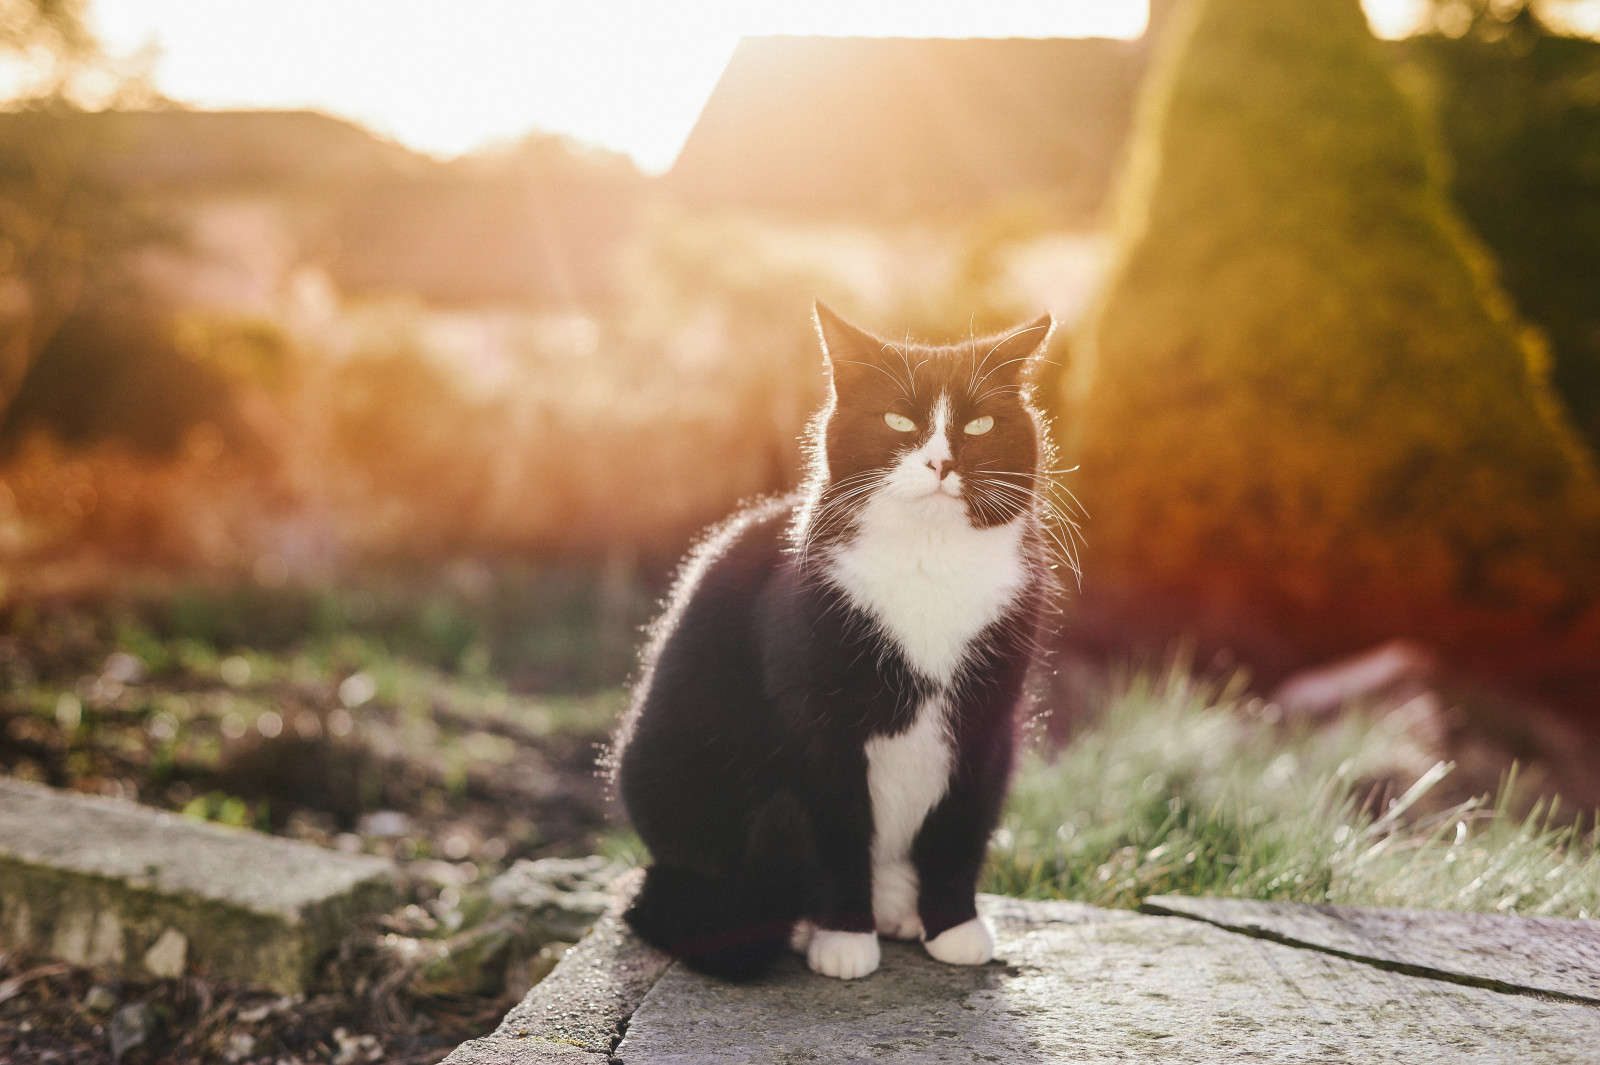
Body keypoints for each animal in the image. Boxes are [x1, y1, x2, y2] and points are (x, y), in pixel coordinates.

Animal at [611, 300, 1062, 978]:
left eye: (981, 423)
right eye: (898, 418)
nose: (942, 463)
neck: (930, 564)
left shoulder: (988, 718)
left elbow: (962, 822)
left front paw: (954, 925)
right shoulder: (816, 723)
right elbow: (836, 828)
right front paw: (845, 937)